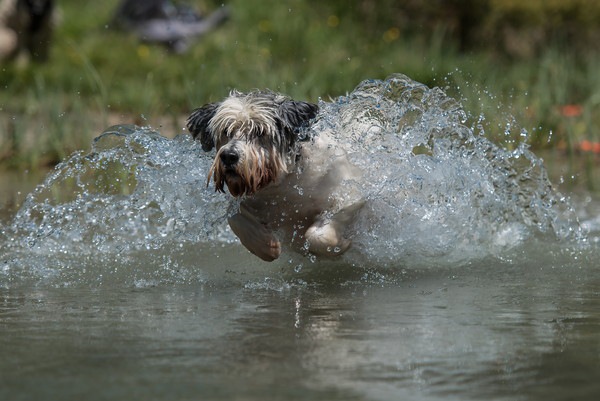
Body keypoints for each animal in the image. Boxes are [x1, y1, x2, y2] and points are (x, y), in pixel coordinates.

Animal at [188, 89, 366, 260]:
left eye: (259, 131)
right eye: (226, 130)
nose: (228, 156)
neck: (284, 184)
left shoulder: (349, 196)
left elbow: (318, 235)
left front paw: (341, 245)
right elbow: (235, 218)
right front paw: (266, 246)